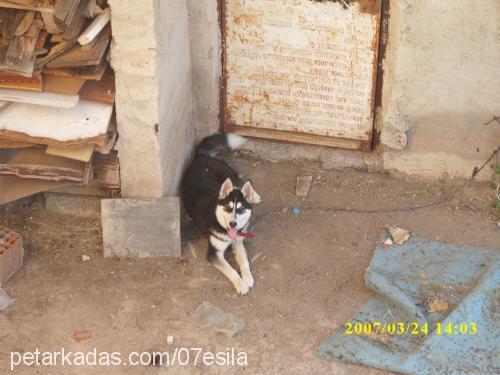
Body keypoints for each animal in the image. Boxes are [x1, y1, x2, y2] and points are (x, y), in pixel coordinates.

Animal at [183, 134, 262, 296]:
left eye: (240, 209)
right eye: (228, 208)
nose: (233, 224)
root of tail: (200, 156)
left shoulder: (239, 241)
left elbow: (244, 261)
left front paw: (247, 277)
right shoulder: (214, 253)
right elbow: (231, 270)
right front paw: (241, 284)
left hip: (228, 176)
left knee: (241, 183)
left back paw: (254, 196)